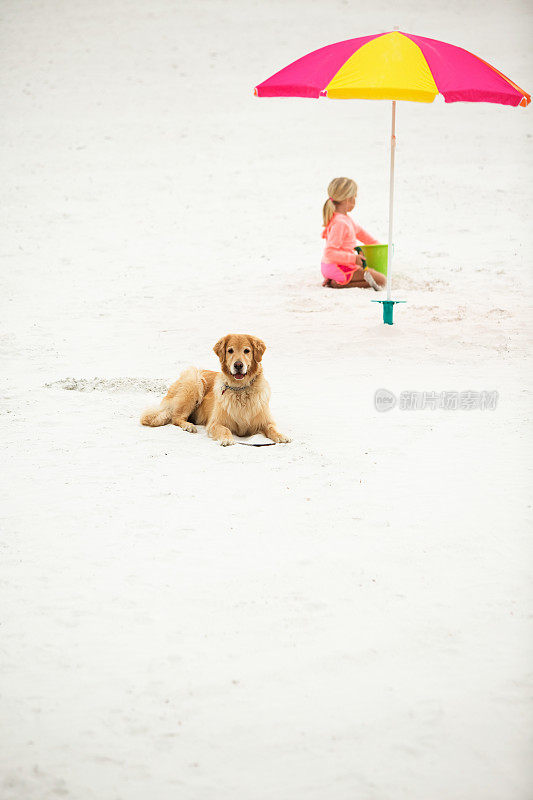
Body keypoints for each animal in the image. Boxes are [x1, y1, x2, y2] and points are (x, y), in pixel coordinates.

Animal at [140, 332, 290, 444]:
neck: (240, 389)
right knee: (176, 417)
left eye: (247, 351)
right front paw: (227, 439)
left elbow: (272, 428)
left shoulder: (265, 421)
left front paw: (281, 436)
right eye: (230, 351)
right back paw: (189, 426)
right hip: (193, 381)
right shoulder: (215, 423)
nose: (238, 365)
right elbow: (225, 430)